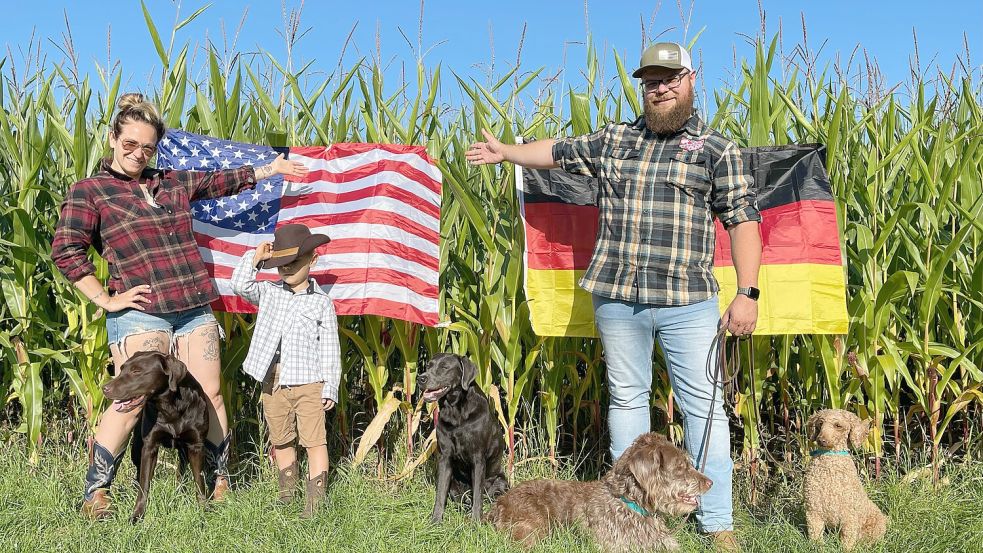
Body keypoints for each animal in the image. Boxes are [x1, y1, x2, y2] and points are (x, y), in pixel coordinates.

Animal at [103, 352, 210, 520]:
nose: (104, 388)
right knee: (139, 473)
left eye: (136, 371)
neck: (170, 407)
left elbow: (199, 481)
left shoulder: (196, 446)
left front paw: (203, 509)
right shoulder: (149, 446)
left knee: (181, 470)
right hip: (136, 448)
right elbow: (144, 483)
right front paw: (137, 514)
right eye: (121, 369)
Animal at [416, 352, 508, 520]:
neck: (455, 412)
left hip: (501, 481)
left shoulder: (478, 459)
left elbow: (477, 496)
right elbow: (440, 494)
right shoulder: (445, 458)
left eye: (444, 367)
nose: (421, 378)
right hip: (454, 483)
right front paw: (436, 520)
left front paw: (476, 521)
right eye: (428, 366)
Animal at [808, 408, 892, 548]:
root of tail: (885, 518)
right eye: (820, 424)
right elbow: (815, 535)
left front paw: (845, 548)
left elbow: (847, 539)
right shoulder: (813, 510)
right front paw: (816, 546)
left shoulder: (849, 514)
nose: (821, 440)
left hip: (873, 528)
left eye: (838, 426)